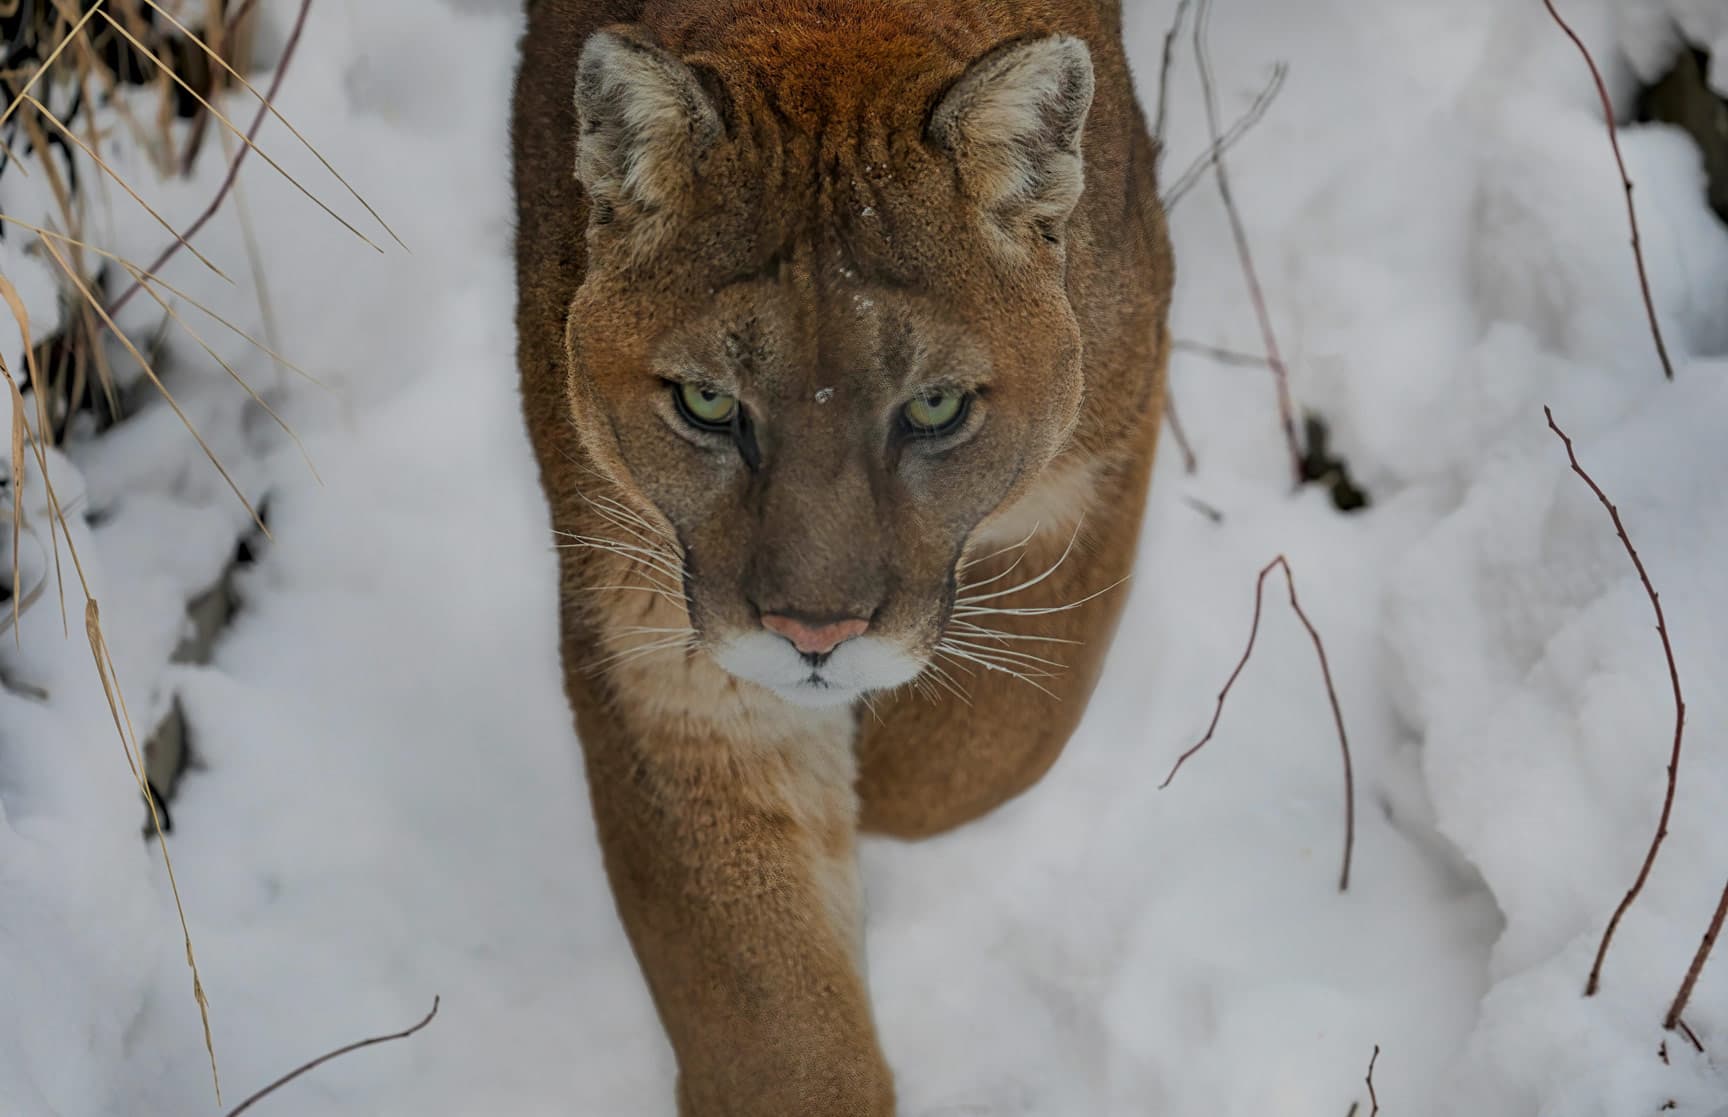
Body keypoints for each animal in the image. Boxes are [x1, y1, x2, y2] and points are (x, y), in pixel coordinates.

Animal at [511, 0, 1172, 1110]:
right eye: (707, 402)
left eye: (936, 408)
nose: (812, 632)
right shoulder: (664, 648)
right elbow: (774, 1026)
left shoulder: (1096, 463)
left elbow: (980, 750)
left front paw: (883, 776)